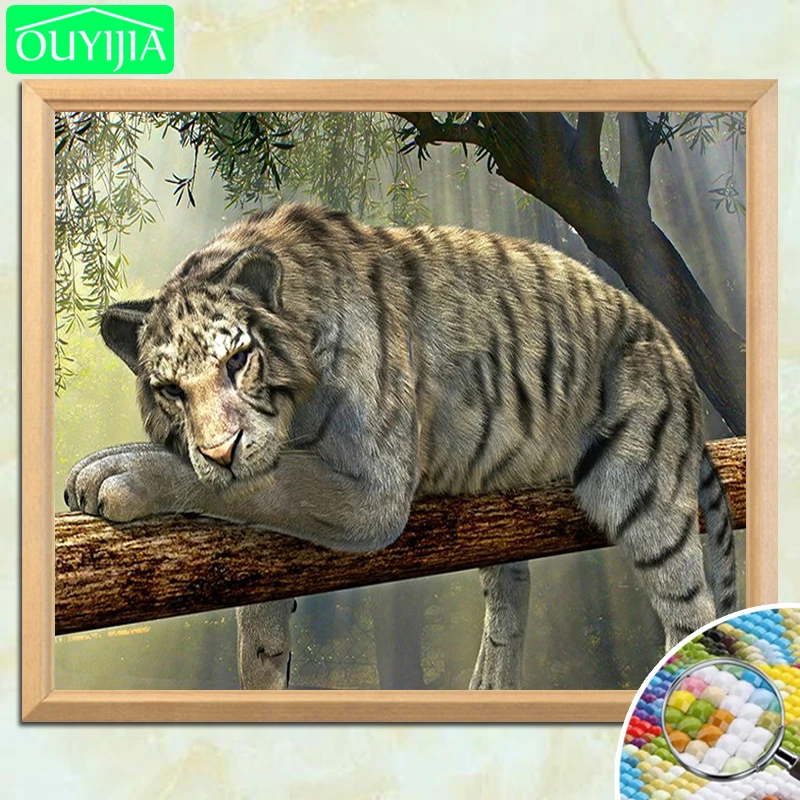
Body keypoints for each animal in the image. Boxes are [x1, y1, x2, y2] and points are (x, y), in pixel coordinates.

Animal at [64, 203, 738, 690]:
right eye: (170, 390)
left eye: (238, 360)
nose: (221, 450)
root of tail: (672, 349)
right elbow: (258, 623)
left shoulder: (373, 496)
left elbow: (264, 483)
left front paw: (116, 474)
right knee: (512, 584)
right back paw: (490, 686)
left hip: (645, 500)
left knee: (691, 611)